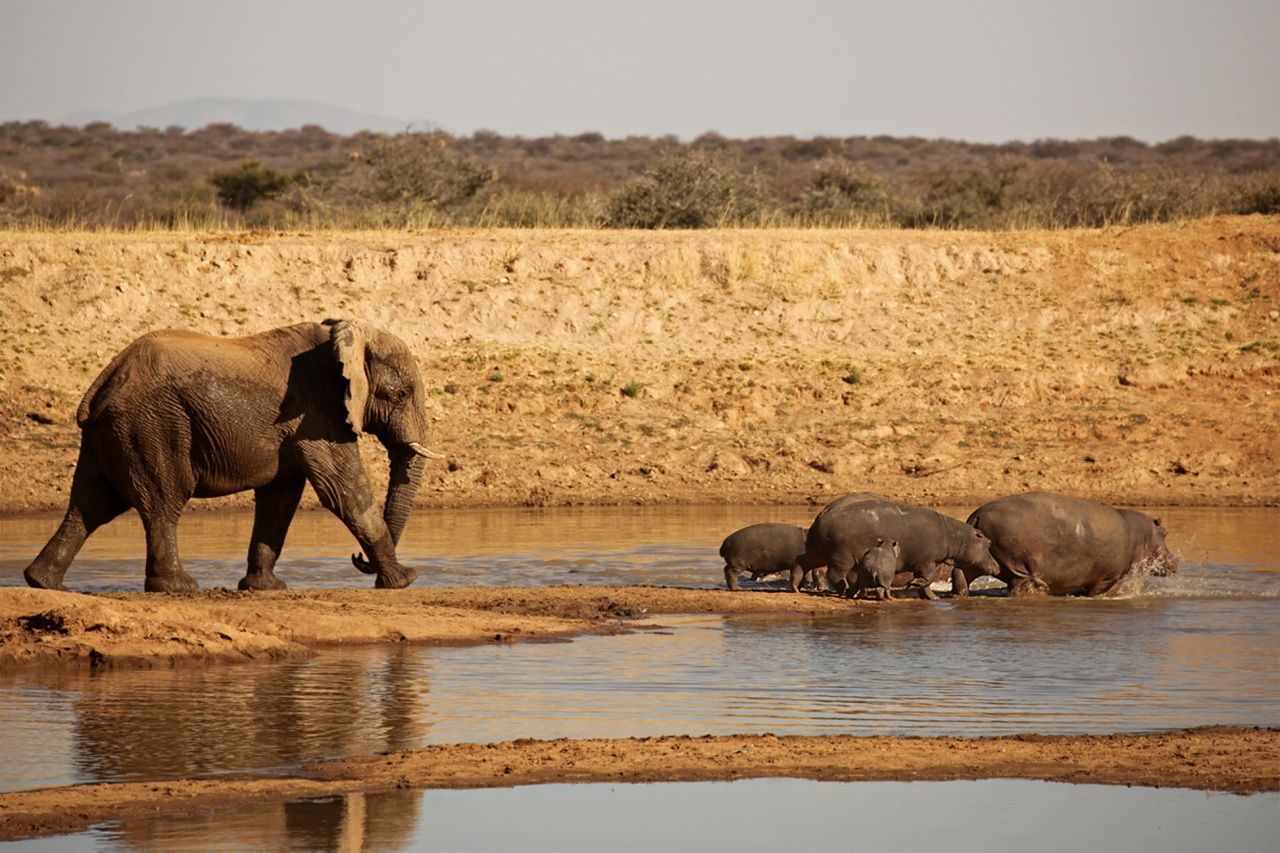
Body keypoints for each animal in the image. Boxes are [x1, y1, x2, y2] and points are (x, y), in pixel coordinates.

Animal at [23, 319, 440, 593]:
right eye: (402, 394)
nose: (356, 560)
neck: (344, 335)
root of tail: (104, 380)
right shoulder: (317, 412)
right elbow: (344, 492)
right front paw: (404, 581)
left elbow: (281, 498)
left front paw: (265, 588)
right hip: (152, 427)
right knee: (162, 503)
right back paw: (178, 588)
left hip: (113, 434)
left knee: (90, 505)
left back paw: (42, 582)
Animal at [802, 496, 998, 599]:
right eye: (987, 543)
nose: (997, 566)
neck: (956, 537)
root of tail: (822, 517)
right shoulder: (928, 561)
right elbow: (926, 579)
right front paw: (913, 584)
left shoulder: (929, 562)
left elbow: (927, 584)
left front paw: (933, 598)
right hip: (843, 557)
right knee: (833, 574)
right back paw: (844, 591)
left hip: (823, 553)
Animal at [964, 491, 1178, 596]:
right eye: (1165, 532)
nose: (1176, 560)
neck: (1140, 535)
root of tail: (977, 514)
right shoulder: (1108, 577)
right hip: (1017, 563)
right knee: (1023, 583)